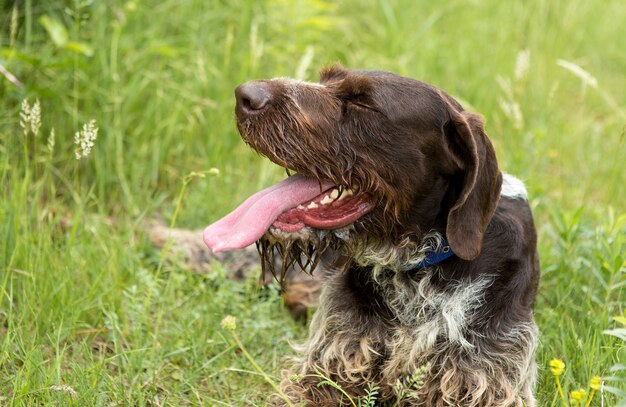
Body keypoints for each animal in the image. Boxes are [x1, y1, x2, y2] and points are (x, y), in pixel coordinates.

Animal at [202, 65, 540, 406]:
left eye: (363, 103)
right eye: (324, 80)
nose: (244, 94)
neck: (415, 269)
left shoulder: (483, 381)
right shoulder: (326, 367)